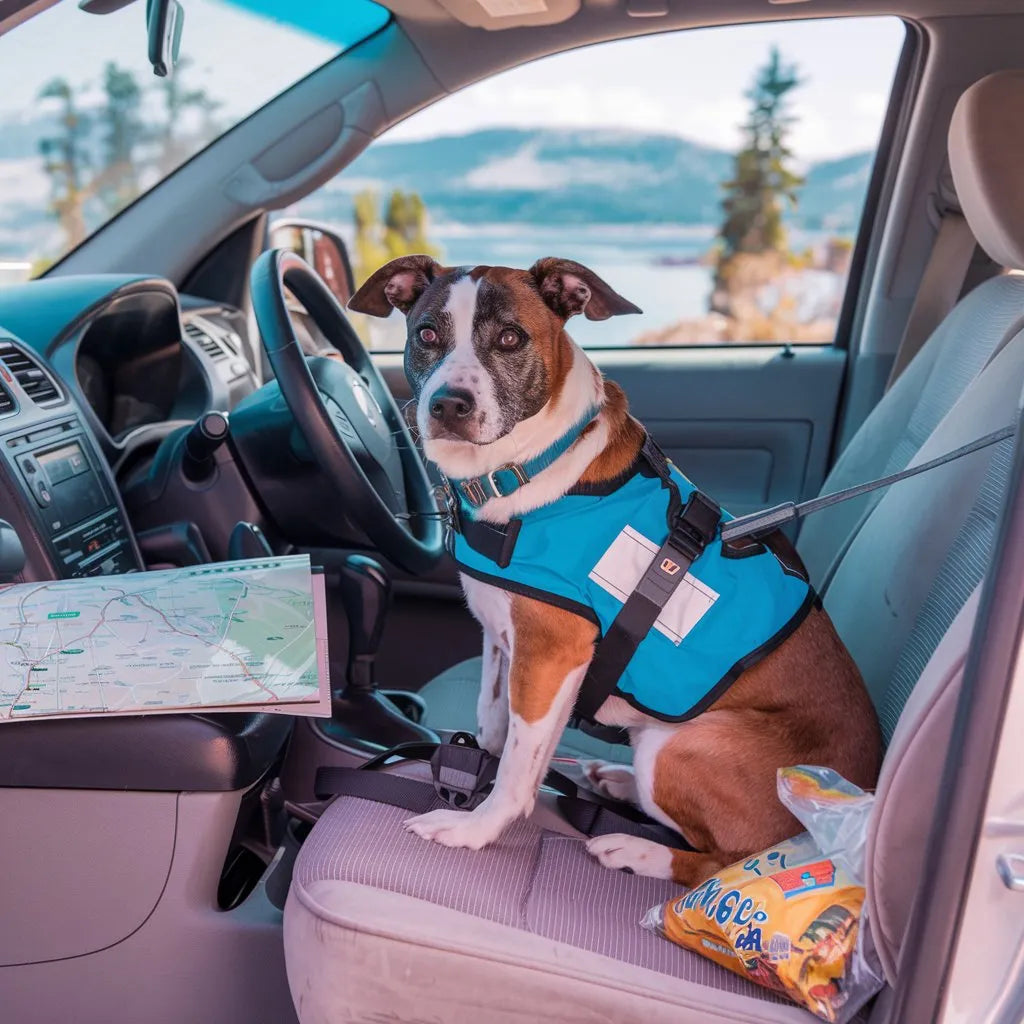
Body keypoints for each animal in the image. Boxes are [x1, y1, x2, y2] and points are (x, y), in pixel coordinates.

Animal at [349, 256, 881, 885]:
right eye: (427, 334)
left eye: (510, 339)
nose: (448, 406)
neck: (526, 467)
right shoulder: (506, 641)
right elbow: (497, 725)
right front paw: (479, 761)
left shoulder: (551, 655)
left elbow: (516, 771)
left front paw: (476, 828)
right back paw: (617, 783)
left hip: (680, 748)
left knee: (724, 861)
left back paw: (635, 847)